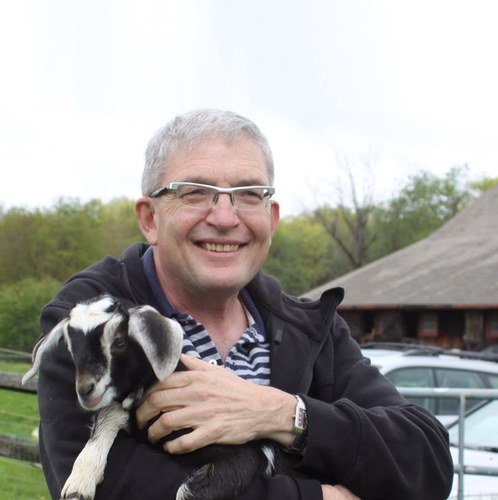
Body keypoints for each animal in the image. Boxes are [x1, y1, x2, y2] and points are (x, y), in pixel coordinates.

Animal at [23, 294, 274, 498]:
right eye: (70, 346)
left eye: (119, 341)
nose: (85, 390)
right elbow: (109, 414)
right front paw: (80, 482)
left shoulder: (245, 454)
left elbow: (189, 492)